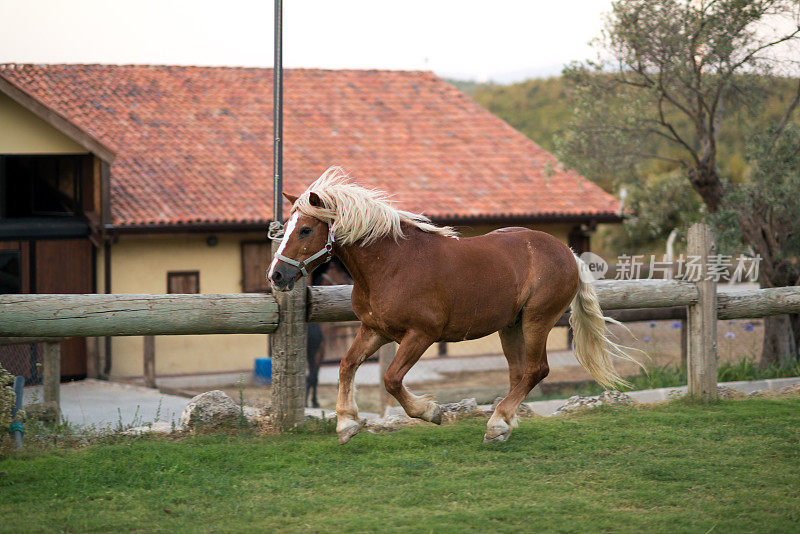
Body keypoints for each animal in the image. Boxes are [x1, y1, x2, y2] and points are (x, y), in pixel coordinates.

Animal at [268, 170, 636, 446]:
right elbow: (347, 365)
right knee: (519, 373)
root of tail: (567, 253)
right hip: (510, 326)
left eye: (305, 229)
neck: (391, 264)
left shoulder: (422, 334)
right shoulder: (375, 330)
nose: (276, 275)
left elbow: (391, 379)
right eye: (284, 229)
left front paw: (432, 412)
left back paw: (497, 424)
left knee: (536, 370)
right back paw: (503, 424)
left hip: (537, 319)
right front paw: (346, 425)